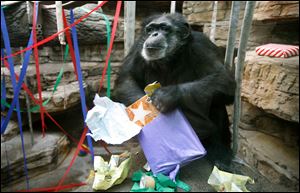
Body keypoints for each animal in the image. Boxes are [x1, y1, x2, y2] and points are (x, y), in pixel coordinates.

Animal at [111, 12, 236, 169]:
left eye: (164, 28)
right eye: (150, 29)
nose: (154, 34)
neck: (170, 57)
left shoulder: (202, 45)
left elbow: (223, 79)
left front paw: (167, 96)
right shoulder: (138, 46)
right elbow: (126, 78)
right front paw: (145, 110)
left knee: (216, 100)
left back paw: (220, 153)